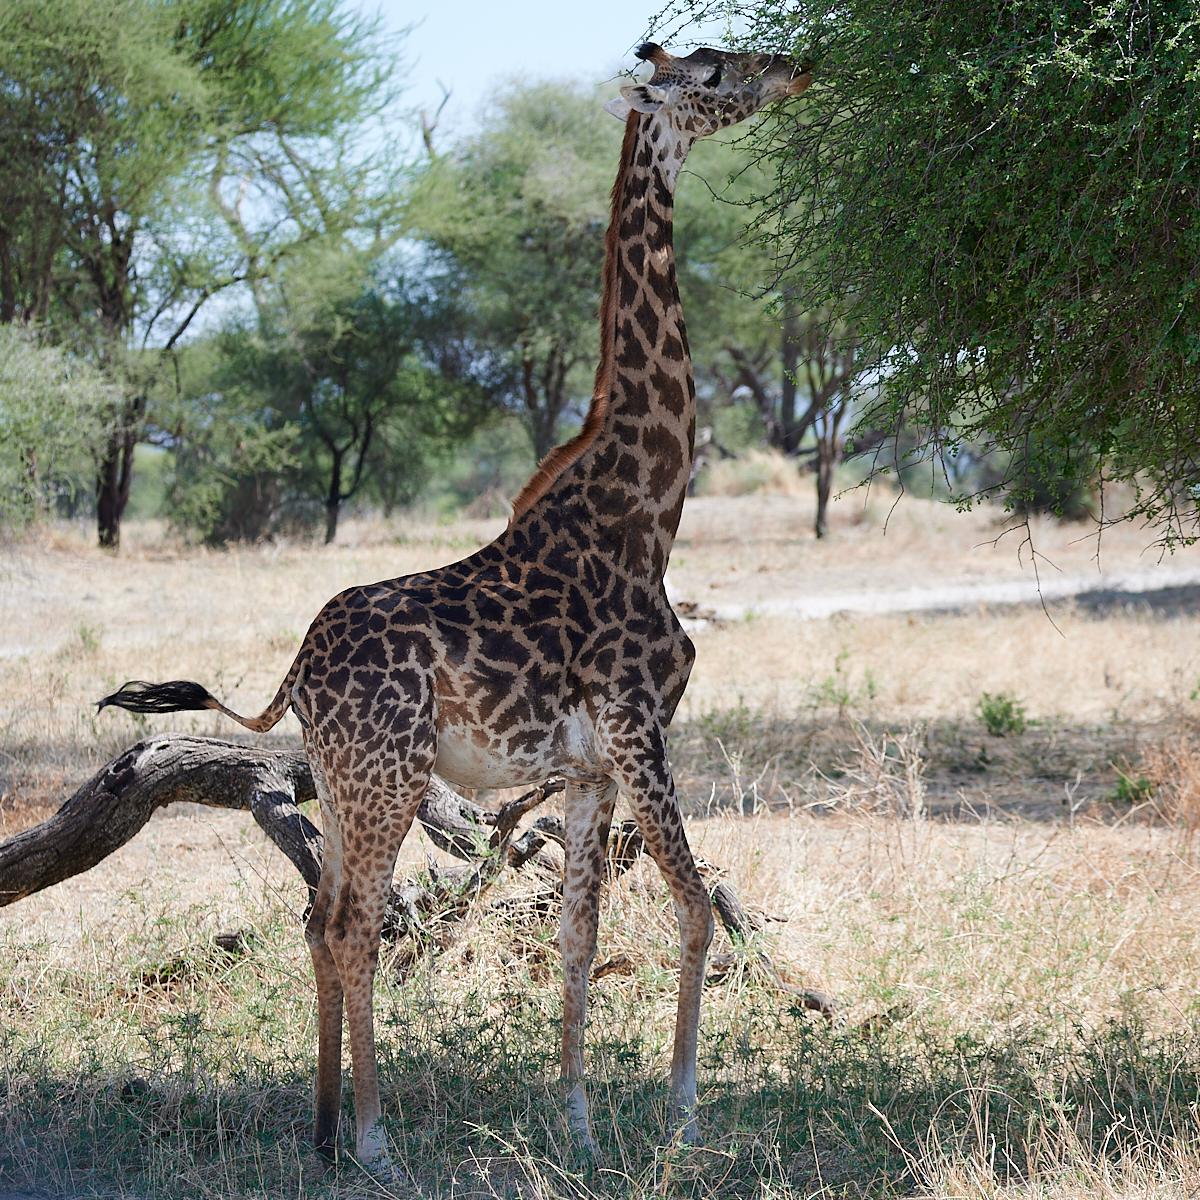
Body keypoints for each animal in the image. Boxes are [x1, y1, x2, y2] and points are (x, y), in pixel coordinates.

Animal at [98, 42, 812, 1163]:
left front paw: (580, 1128)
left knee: (320, 920)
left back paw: (322, 1130)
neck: (649, 511)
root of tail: (296, 672)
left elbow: (580, 935)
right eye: (710, 69)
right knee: (354, 924)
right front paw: (683, 1120)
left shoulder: (589, 764)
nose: (795, 68)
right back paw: (374, 1141)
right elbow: (695, 909)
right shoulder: (641, 729)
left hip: (347, 781)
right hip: (387, 775)